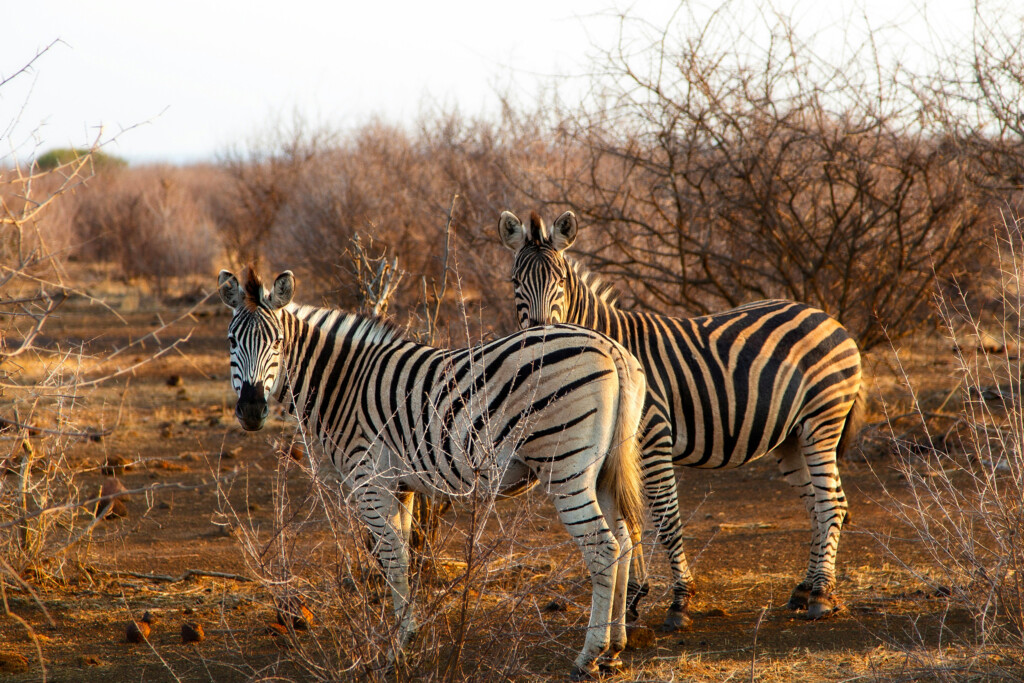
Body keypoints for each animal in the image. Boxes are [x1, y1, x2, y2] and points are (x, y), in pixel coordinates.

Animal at [219, 266, 643, 679]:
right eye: (232, 342)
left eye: (277, 343)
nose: (252, 410)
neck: (343, 385)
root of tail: (611, 348)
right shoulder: (400, 486)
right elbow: (404, 554)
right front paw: (409, 633)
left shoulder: (369, 481)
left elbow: (391, 558)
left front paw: (397, 648)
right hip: (604, 469)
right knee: (624, 540)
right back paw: (615, 649)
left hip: (565, 467)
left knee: (603, 547)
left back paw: (588, 656)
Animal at [497, 210, 864, 634]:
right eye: (514, 283)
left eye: (561, 282)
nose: (539, 341)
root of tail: (828, 318)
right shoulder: (617, 450)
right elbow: (628, 521)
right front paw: (631, 600)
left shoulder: (654, 437)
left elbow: (665, 520)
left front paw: (679, 601)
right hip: (791, 439)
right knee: (818, 506)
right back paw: (805, 588)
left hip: (822, 421)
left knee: (831, 504)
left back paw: (821, 595)